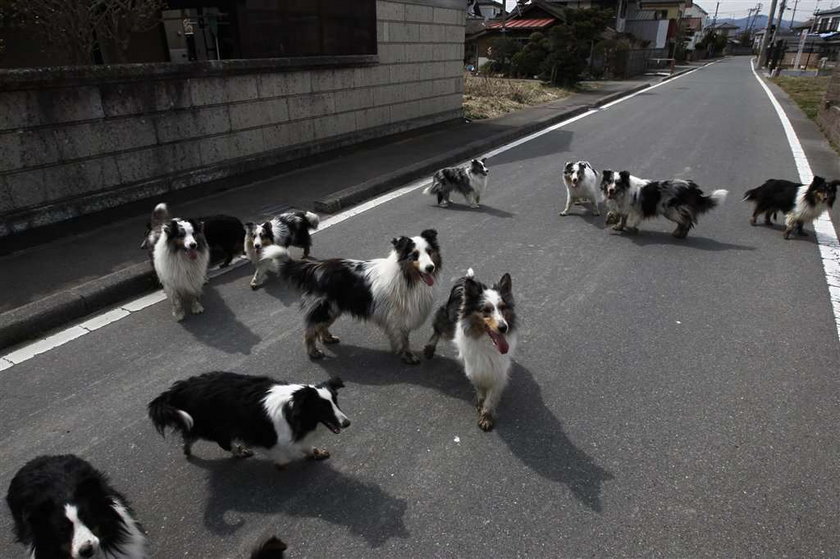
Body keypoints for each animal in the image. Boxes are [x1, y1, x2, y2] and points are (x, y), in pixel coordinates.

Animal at [424, 270, 516, 430]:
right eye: (486, 310)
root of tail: (467, 280)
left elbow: (491, 396)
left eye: (503, 308)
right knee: (438, 328)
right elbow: (479, 388)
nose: (504, 327)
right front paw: (480, 403)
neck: (486, 341)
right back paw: (429, 349)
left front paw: (486, 416)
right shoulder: (473, 367)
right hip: (448, 321)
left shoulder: (499, 371)